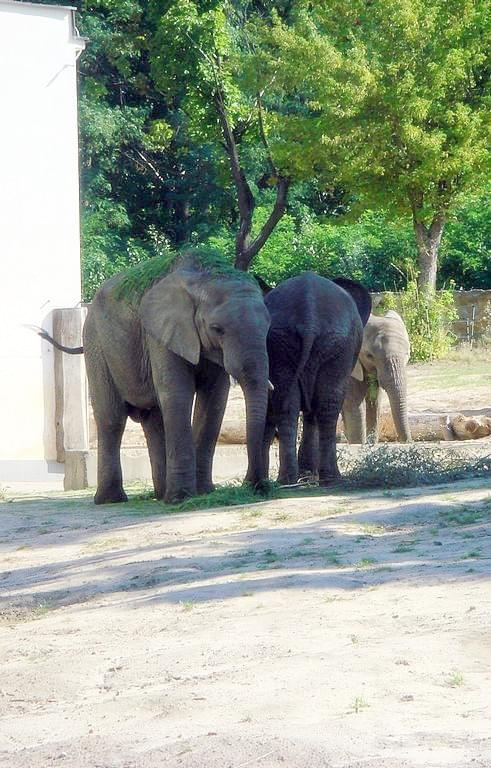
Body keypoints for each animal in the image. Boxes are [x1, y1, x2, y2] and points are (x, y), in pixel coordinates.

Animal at [41, 250, 272, 504]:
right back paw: (113, 500)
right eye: (217, 329)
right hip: (96, 343)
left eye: (269, 326)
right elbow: (178, 393)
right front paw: (182, 499)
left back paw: (161, 495)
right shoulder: (161, 334)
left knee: (154, 419)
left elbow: (214, 401)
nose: (255, 486)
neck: (204, 273)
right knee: (112, 419)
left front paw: (204, 493)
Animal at [264, 272, 370, 484]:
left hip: (285, 342)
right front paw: (308, 473)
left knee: (288, 403)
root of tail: (309, 317)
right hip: (334, 344)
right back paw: (331, 479)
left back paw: (288, 480)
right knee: (329, 404)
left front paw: (306, 474)